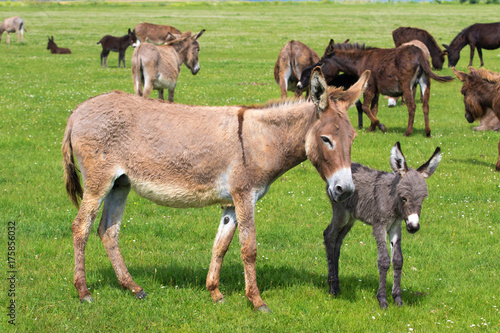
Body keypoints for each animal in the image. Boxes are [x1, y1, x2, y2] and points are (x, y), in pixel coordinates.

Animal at [322, 141, 440, 308]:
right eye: (404, 198)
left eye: (423, 199)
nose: (413, 227)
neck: (393, 202)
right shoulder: (379, 226)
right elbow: (383, 260)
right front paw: (383, 300)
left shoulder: (395, 227)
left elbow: (398, 260)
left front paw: (397, 298)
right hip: (341, 213)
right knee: (329, 236)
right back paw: (332, 288)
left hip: (350, 218)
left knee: (337, 241)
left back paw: (336, 286)